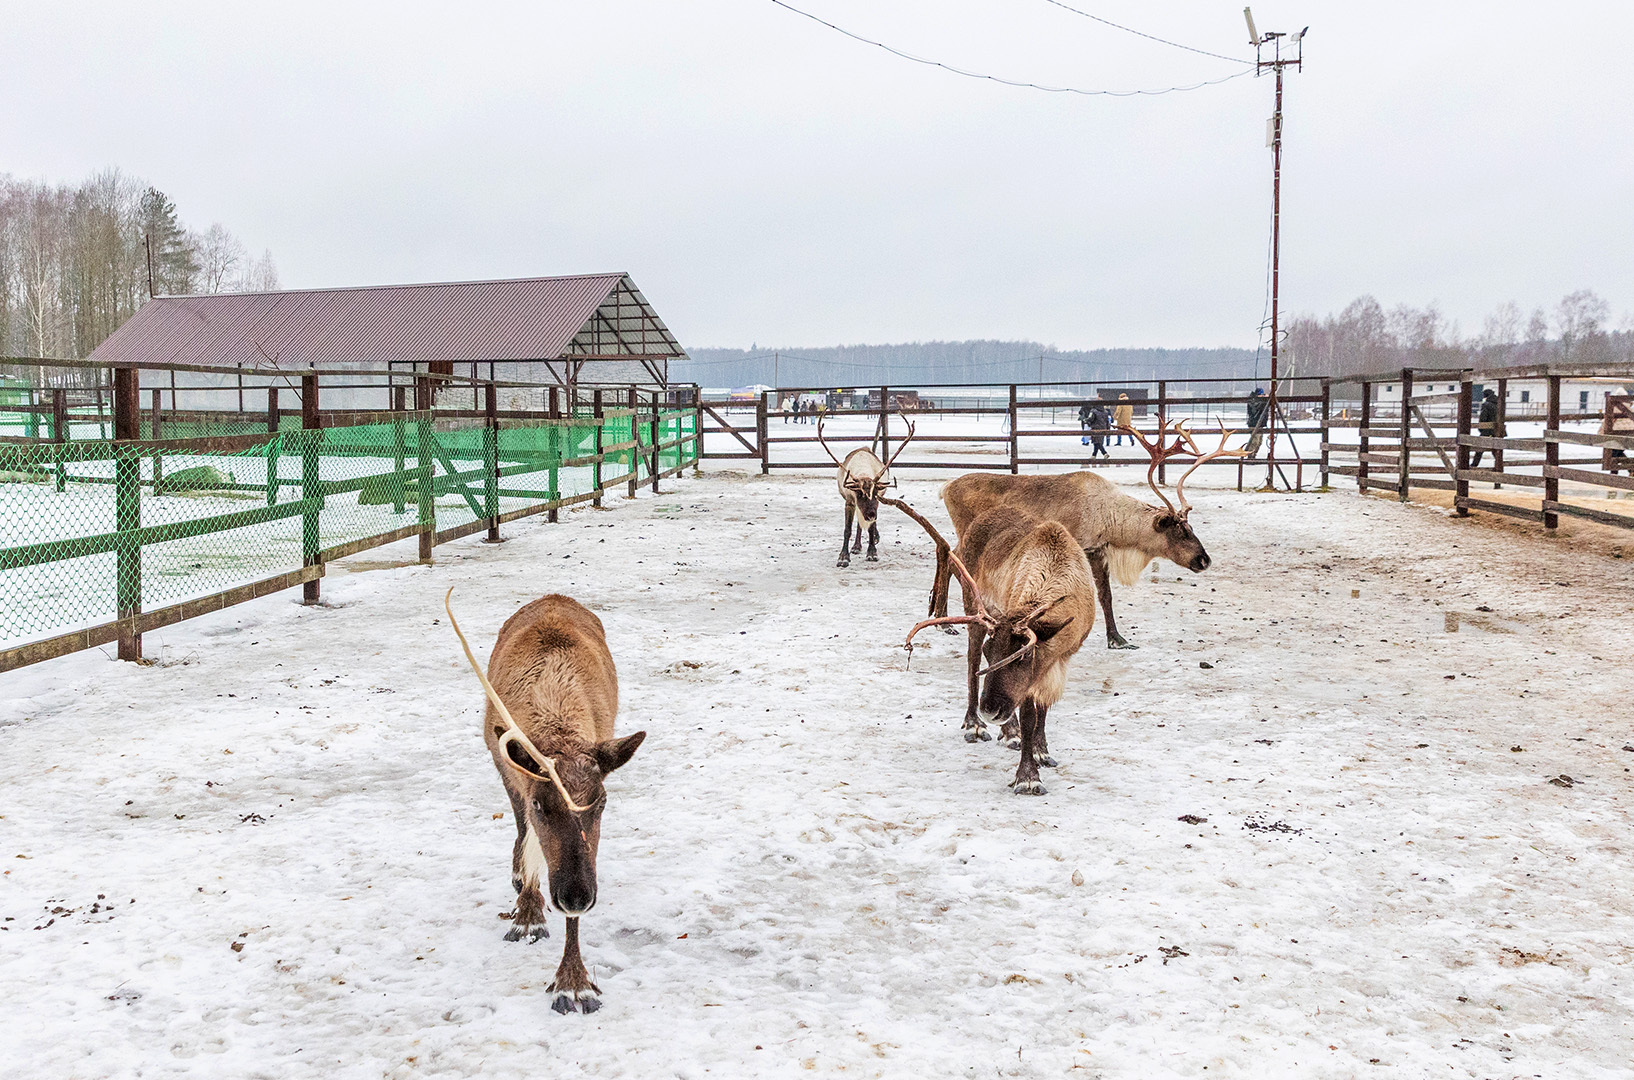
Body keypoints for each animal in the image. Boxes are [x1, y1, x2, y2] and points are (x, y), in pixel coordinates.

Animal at [446, 588, 646, 1016]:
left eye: (602, 803)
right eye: (541, 804)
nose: (577, 895)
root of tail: (555, 595)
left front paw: (573, 983)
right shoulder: (511, 775)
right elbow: (528, 840)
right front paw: (527, 914)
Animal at [818, 412, 916, 568]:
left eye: (875, 494)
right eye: (859, 494)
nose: (871, 514)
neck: (864, 474)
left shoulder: (878, 501)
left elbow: (870, 527)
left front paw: (872, 552)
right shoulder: (850, 501)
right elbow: (847, 529)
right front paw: (843, 557)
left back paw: (872, 538)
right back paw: (856, 546)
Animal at [895, 502, 1097, 795]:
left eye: (1023, 656)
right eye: (990, 653)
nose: (989, 709)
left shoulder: (1056, 659)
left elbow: (1043, 708)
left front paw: (1041, 750)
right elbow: (1028, 715)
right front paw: (1027, 776)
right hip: (972, 608)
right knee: (971, 664)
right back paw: (977, 726)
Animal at [929, 420, 1243, 649]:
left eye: (1191, 528)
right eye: (1180, 532)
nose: (1204, 560)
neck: (1110, 518)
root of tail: (945, 486)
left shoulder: (1098, 551)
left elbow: (1107, 596)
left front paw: (1117, 638)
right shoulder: (1079, 549)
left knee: (948, 552)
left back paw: (942, 616)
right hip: (967, 529)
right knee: (954, 556)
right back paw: (945, 621)